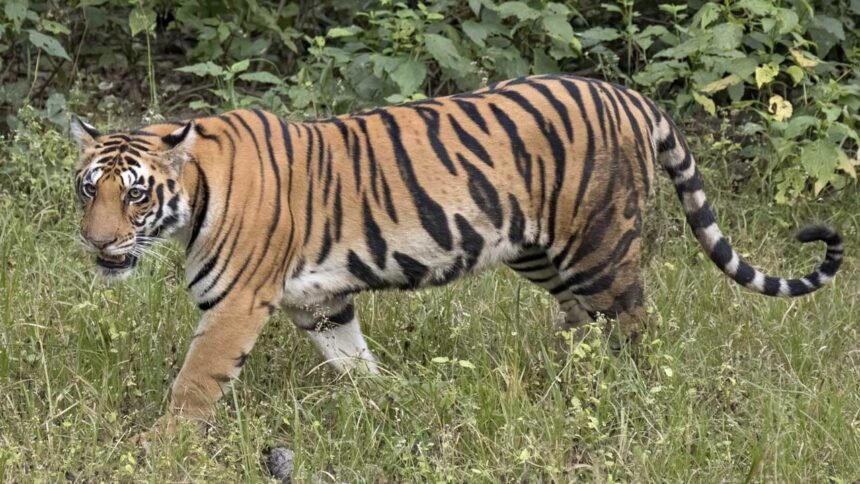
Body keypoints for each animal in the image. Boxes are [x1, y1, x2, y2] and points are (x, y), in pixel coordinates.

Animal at [71, 74, 843, 430]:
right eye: (88, 190)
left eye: (135, 195)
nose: (98, 242)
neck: (194, 196)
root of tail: (627, 94)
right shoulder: (321, 301)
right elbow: (354, 359)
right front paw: (387, 400)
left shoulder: (235, 304)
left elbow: (196, 380)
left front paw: (162, 446)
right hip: (541, 252)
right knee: (581, 322)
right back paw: (564, 381)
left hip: (600, 246)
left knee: (634, 324)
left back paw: (632, 394)